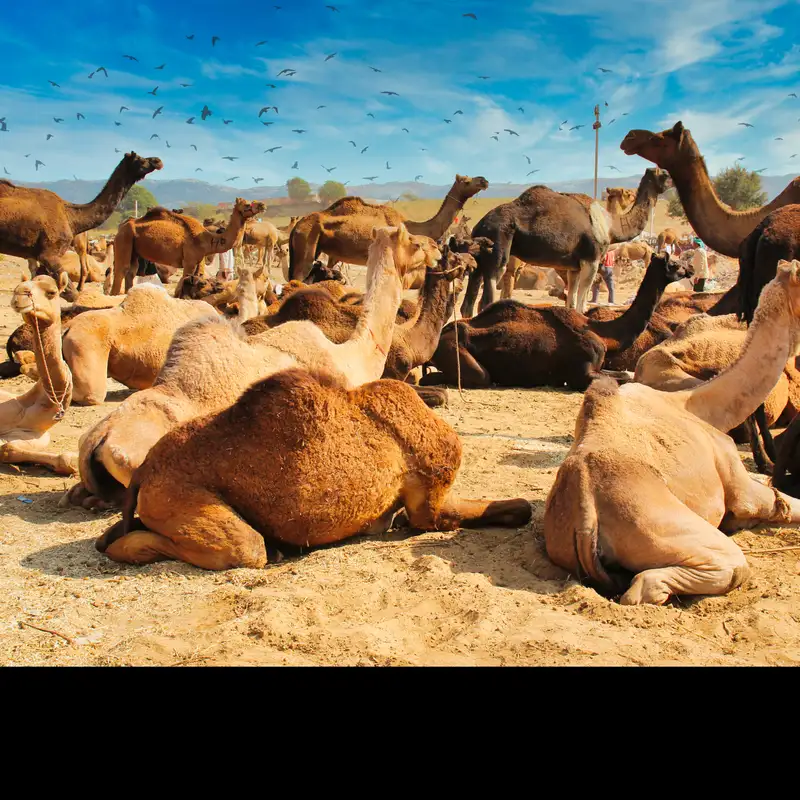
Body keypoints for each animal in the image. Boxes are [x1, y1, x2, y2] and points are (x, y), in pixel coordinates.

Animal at [0, 152, 162, 300]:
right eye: (140, 159)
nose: (158, 160)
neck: (71, 217)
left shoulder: (38, 255)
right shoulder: (48, 254)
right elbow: (71, 294)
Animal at [110, 198, 266, 295]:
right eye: (247, 205)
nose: (262, 205)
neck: (208, 240)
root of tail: (121, 227)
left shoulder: (198, 261)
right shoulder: (189, 261)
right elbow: (184, 280)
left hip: (134, 249)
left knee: (132, 271)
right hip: (124, 238)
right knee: (122, 269)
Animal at [421, 253, 690, 390]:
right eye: (674, 263)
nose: (688, 269)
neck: (604, 334)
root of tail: (440, 335)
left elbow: (624, 373)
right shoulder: (581, 373)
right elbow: (620, 377)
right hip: (456, 351)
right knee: (476, 376)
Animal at [462, 168, 669, 317]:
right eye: (664, 174)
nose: (671, 180)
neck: (611, 226)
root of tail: (479, 226)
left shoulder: (574, 267)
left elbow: (571, 302)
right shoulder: (591, 260)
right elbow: (580, 306)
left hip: (479, 260)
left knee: (468, 305)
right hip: (498, 245)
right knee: (485, 301)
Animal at [544, 261, 800, 605]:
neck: (700, 406)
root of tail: (584, 512)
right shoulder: (739, 482)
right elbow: (778, 502)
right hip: (660, 525)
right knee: (693, 574)